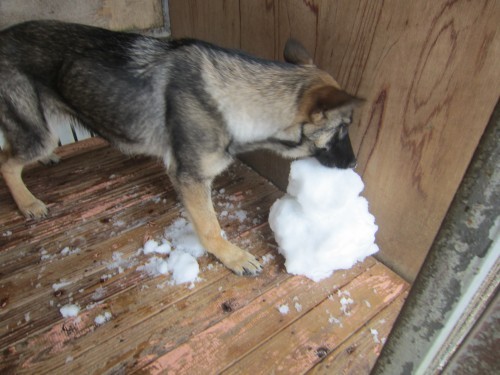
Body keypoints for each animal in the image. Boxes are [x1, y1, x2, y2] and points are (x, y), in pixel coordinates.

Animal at [0, 22, 360, 278]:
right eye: (343, 129)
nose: (355, 162)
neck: (234, 101)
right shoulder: (191, 177)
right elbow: (210, 226)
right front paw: (231, 256)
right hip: (40, 132)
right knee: (7, 162)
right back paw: (28, 202)